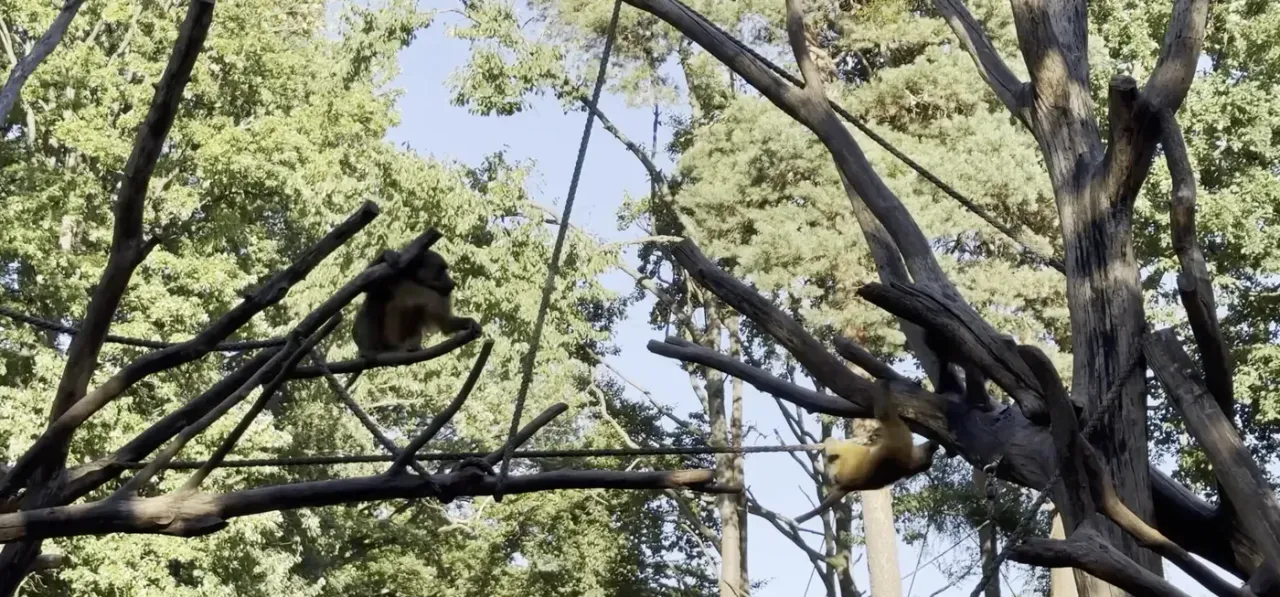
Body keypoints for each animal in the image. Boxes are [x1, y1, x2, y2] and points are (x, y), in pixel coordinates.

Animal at [793, 382, 939, 524]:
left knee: (837, 448)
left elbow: (884, 415)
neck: (908, 463)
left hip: (840, 467)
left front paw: (884, 384)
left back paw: (829, 443)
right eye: (930, 456)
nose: (934, 446)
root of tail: (845, 485)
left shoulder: (901, 440)